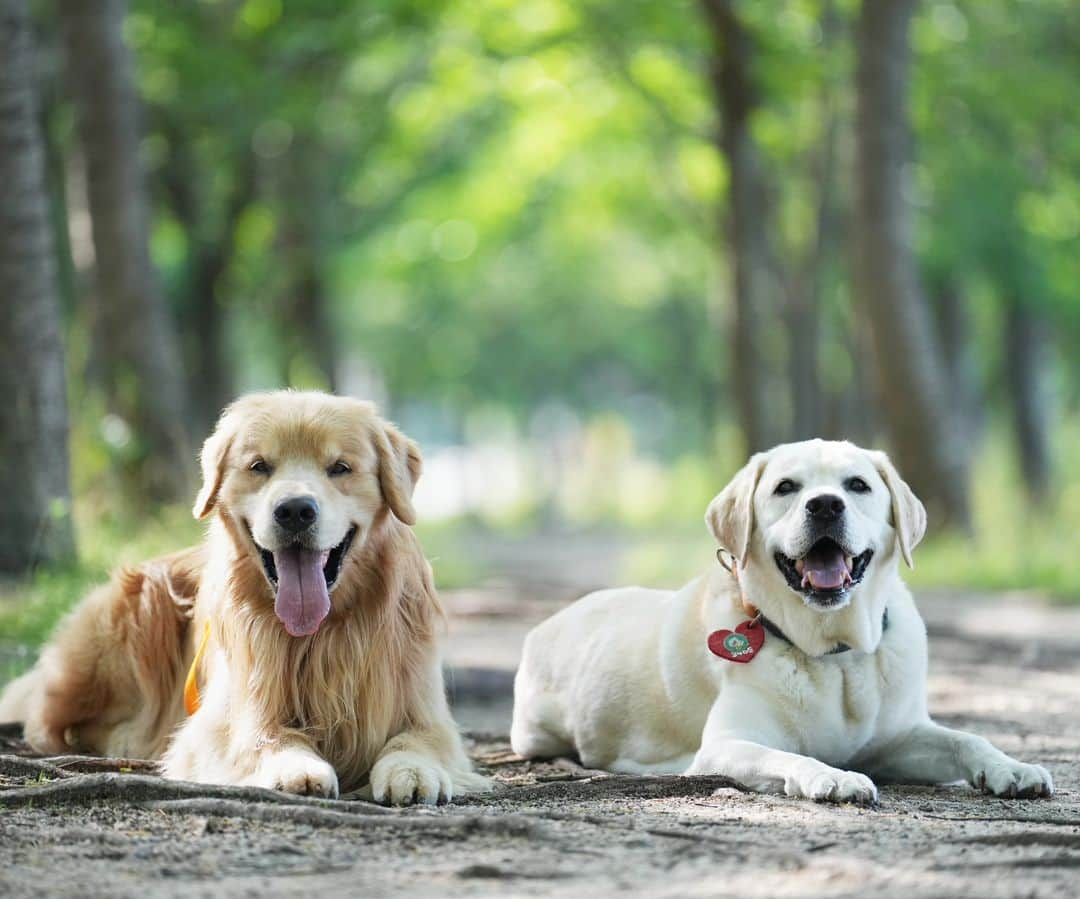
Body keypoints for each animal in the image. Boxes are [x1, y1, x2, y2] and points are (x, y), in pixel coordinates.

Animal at [0, 388, 488, 803]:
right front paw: (296, 765)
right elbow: (263, 735)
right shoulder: (228, 714)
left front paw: (413, 770)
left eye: (340, 468)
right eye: (259, 466)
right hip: (132, 614)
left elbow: (418, 740)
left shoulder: (425, 707)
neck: (322, 632)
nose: (295, 510)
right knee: (53, 723)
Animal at [514, 440, 1054, 799]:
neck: (834, 653)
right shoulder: (726, 745)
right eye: (786, 488)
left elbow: (966, 737)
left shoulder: (899, 738)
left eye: (857, 485)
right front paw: (833, 775)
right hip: (537, 730)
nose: (826, 505)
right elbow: (788, 754)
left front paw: (1012, 768)